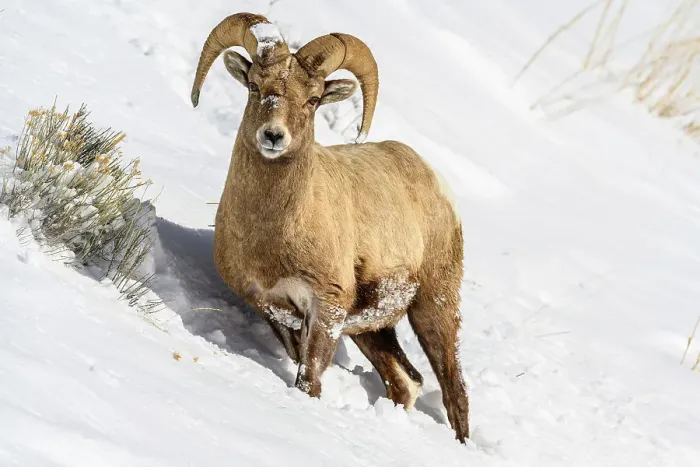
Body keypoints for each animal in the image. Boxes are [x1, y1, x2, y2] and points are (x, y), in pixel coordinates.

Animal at [191, 12, 470, 442]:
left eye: (312, 99)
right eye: (255, 86)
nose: (273, 136)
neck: (273, 234)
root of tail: (432, 176)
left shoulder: (327, 309)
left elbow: (310, 379)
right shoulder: (271, 306)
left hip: (434, 307)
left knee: (454, 393)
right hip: (372, 331)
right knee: (407, 382)